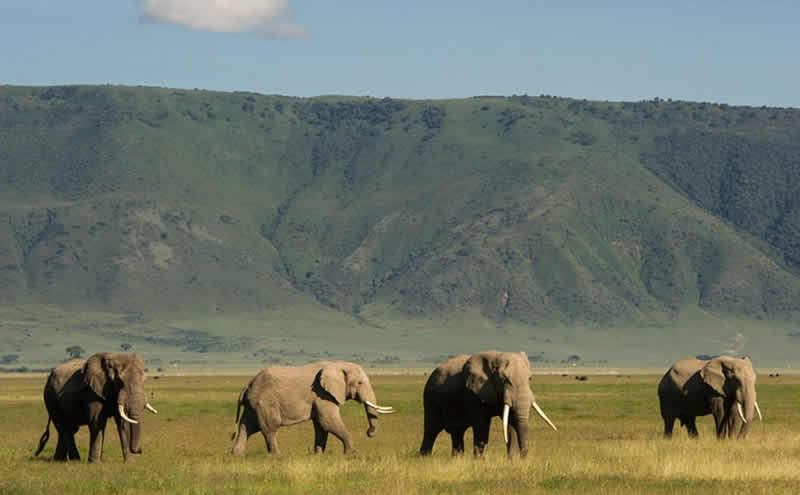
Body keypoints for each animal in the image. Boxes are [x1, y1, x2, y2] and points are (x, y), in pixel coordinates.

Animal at [231, 360, 394, 458]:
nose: (369, 432)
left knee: (246, 427)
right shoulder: (322, 394)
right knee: (269, 428)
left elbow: (321, 426)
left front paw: (318, 456)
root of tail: (247, 386)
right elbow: (328, 422)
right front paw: (352, 455)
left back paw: (236, 455)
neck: (336, 364)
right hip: (265, 403)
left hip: (253, 406)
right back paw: (277, 457)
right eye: (359, 383)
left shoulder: (322, 397)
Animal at [418, 350, 556, 460]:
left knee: (457, 432)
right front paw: (480, 461)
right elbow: (482, 424)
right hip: (430, 399)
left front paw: (512, 459)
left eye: (530, 379)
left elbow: (510, 422)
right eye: (504, 380)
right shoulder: (473, 393)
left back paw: (457, 459)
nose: (524, 456)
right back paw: (425, 458)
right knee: (431, 430)